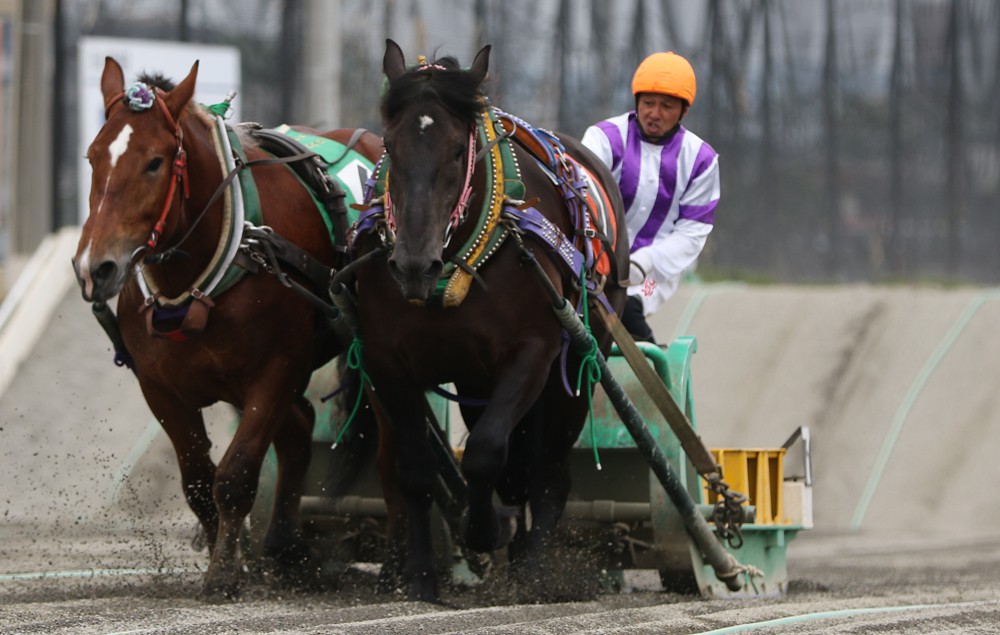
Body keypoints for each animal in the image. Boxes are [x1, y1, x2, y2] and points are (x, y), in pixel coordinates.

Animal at [72, 57, 383, 599]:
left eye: (155, 162)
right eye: (92, 158)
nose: (97, 268)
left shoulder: (275, 369)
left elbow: (235, 476)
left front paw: (223, 571)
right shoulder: (161, 388)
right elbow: (198, 481)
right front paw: (229, 550)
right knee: (299, 430)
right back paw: (285, 545)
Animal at [348, 39, 630, 602]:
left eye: (459, 150)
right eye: (389, 144)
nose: (413, 264)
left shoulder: (533, 351)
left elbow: (485, 453)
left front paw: (487, 530)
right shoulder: (388, 359)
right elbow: (416, 468)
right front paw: (421, 576)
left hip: (581, 356)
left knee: (547, 470)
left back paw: (534, 567)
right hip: (474, 376)